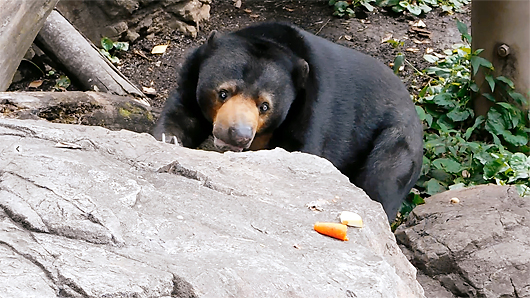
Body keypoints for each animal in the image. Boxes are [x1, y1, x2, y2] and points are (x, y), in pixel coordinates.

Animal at [152, 22, 420, 220]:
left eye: (264, 105)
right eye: (223, 93)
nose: (237, 135)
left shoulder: (312, 109)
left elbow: (301, 152)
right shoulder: (192, 75)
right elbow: (183, 112)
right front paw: (169, 139)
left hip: (396, 145)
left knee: (381, 181)